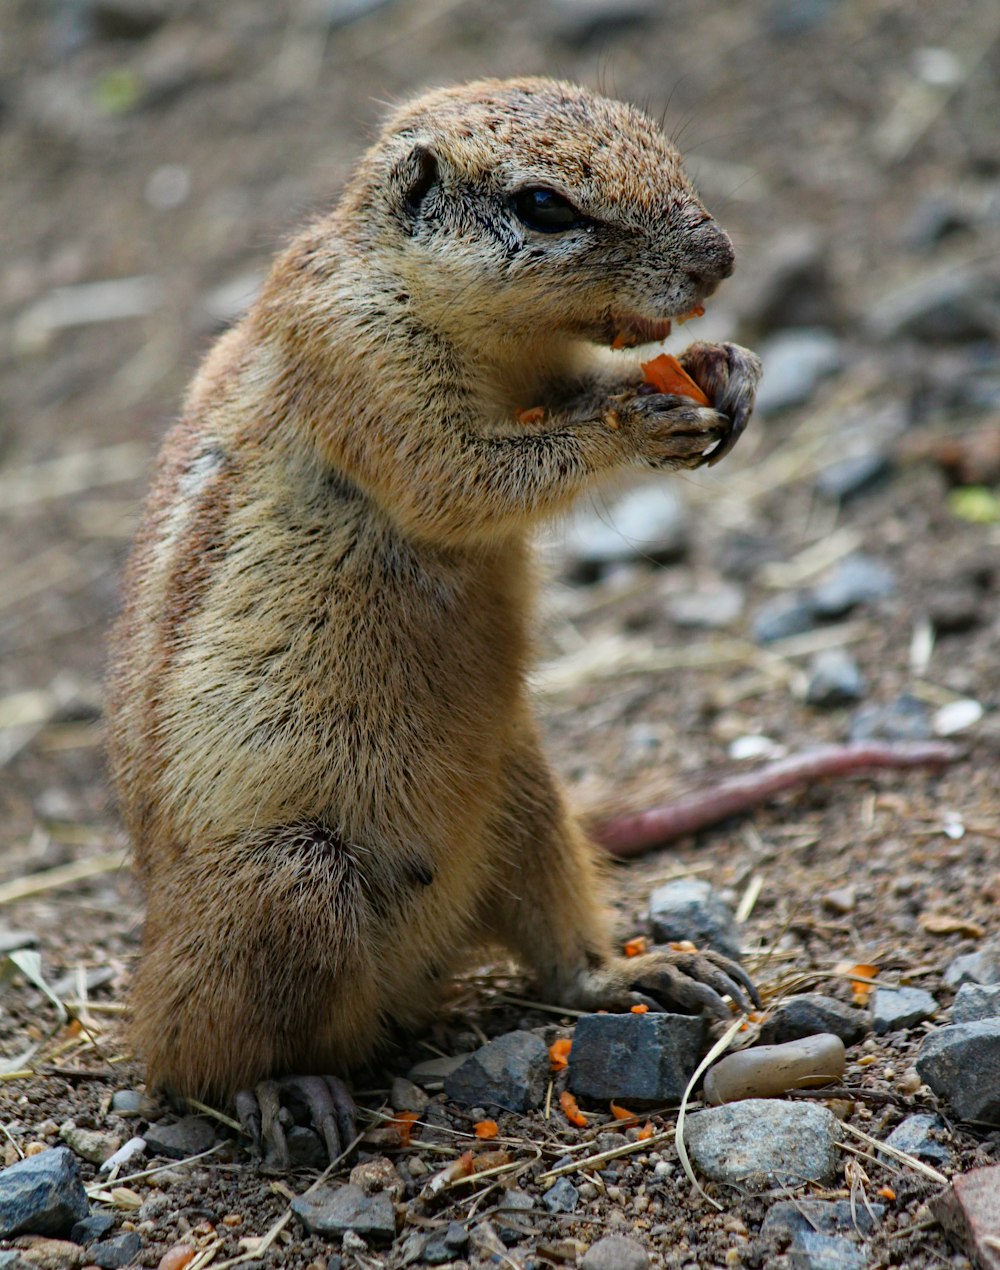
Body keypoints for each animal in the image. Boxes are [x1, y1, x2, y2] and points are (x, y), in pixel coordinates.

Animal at [105, 72, 762, 1163]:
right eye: (544, 206)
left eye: (661, 144)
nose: (721, 259)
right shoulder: (360, 364)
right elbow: (465, 478)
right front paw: (635, 415)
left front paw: (726, 366)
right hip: (287, 884)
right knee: (187, 1058)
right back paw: (281, 1089)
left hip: (525, 801)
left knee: (556, 948)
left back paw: (645, 970)